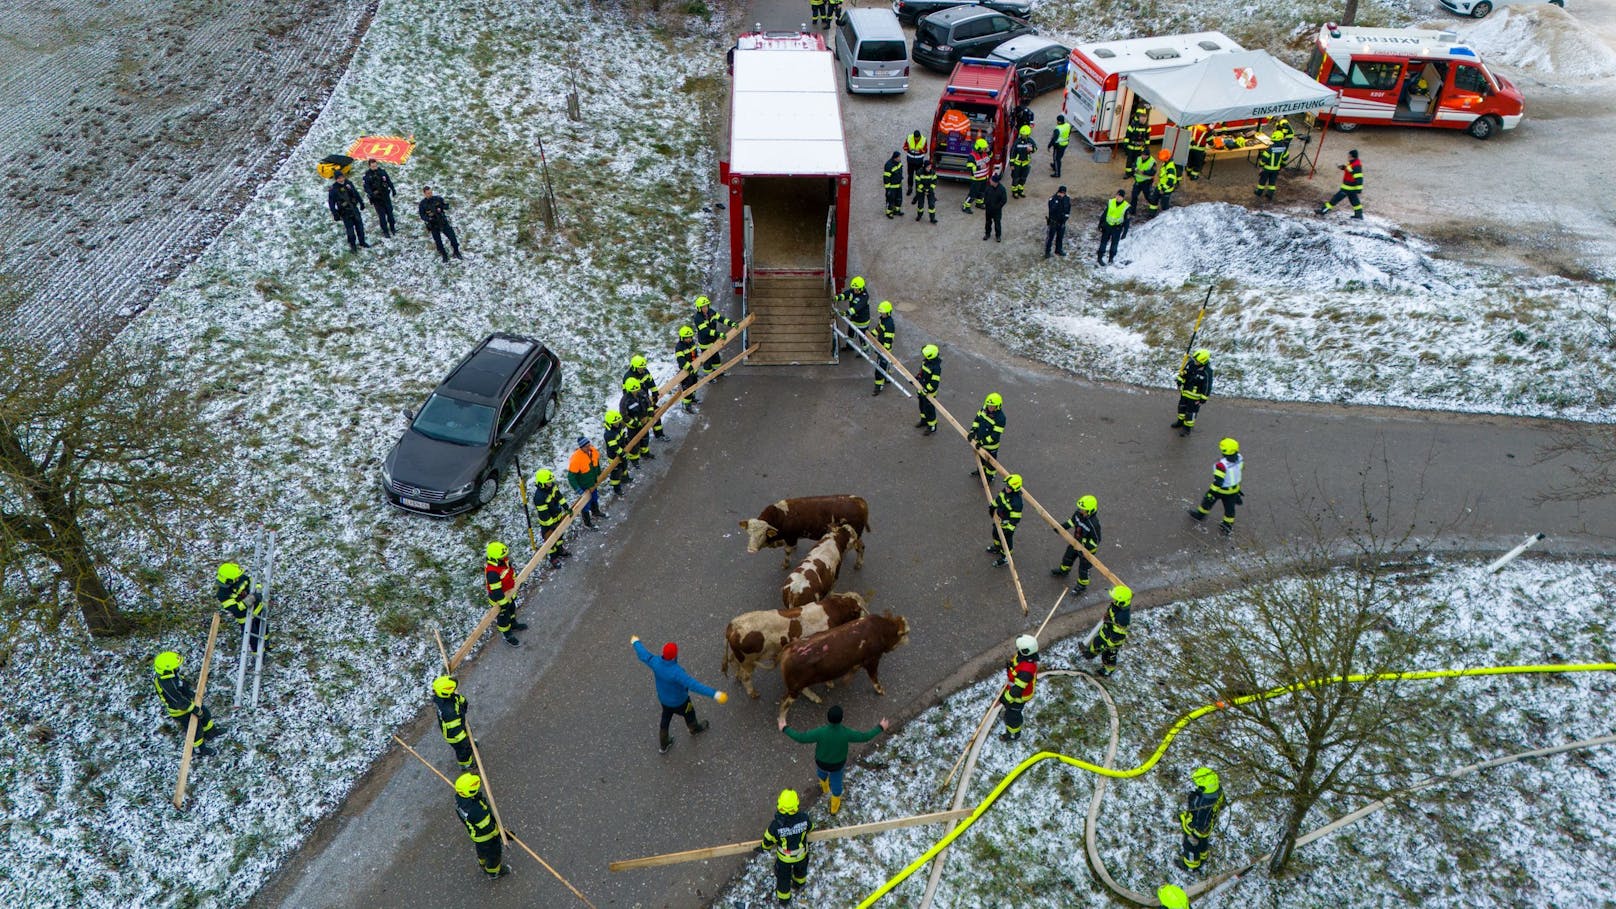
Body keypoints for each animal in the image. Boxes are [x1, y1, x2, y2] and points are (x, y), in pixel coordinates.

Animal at [720, 591, 872, 695]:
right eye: (859, 610)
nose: (866, 618)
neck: (834, 610)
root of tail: (734, 625)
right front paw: (829, 683)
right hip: (748, 661)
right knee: (746, 677)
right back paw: (753, 693)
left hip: (739, 658)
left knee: (734, 665)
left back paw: (737, 677)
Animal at [740, 494, 872, 566]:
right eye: (749, 533)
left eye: (762, 534)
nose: (751, 550)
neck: (780, 515)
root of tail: (859, 500)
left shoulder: (790, 537)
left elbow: (787, 550)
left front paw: (785, 564)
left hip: (856, 534)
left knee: (860, 547)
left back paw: (858, 563)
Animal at [778, 611, 911, 718]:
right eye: (905, 633)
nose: (909, 640)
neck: (880, 630)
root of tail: (788, 649)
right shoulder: (872, 660)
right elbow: (874, 678)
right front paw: (881, 691)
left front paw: (845, 680)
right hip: (794, 687)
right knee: (784, 702)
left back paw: (822, 691)